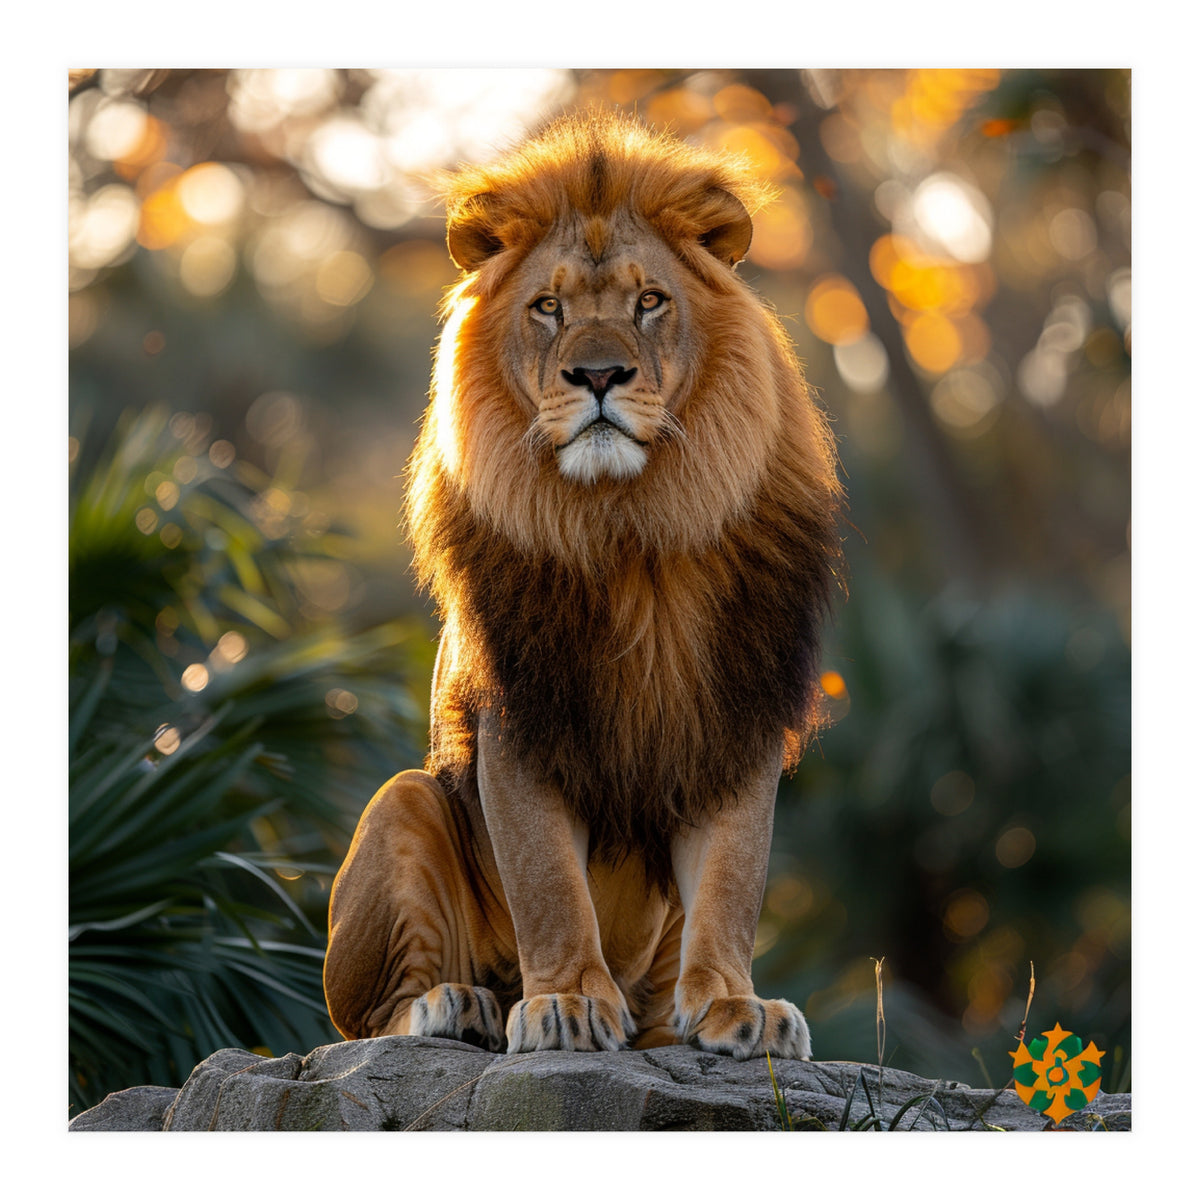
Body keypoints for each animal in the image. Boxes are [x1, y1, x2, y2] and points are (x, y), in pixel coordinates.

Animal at [323, 112, 844, 1060]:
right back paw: (460, 1005)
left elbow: (732, 880)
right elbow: (548, 883)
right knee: (367, 1021)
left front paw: (735, 1006)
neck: (631, 529)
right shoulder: (519, 716)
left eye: (649, 302)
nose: (598, 376)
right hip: (403, 802)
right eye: (549, 307)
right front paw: (563, 1001)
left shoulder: (736, 714)